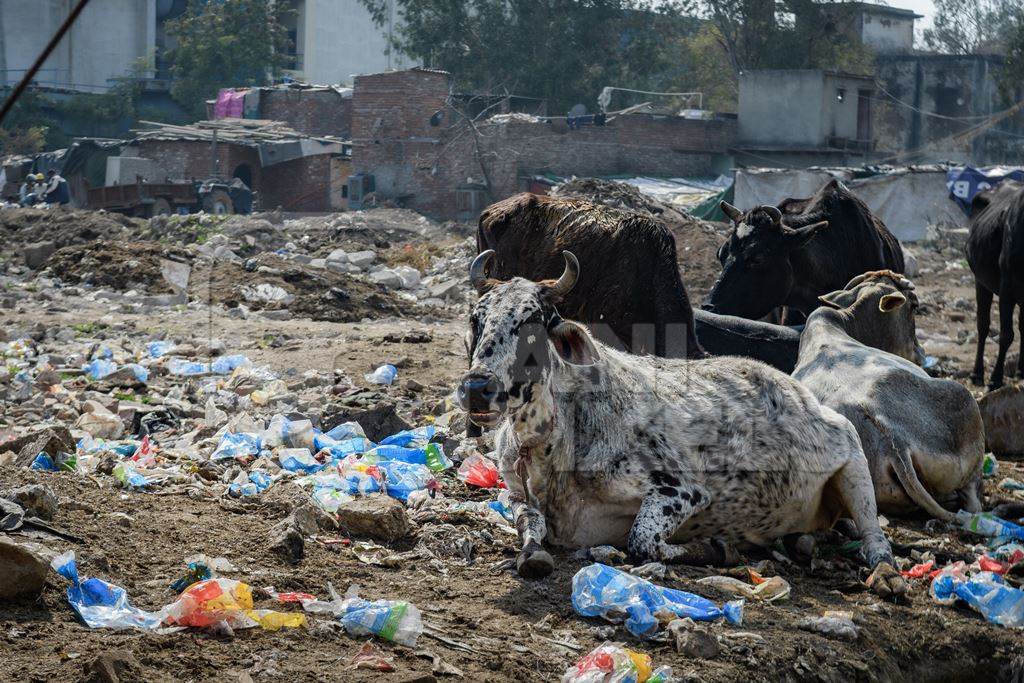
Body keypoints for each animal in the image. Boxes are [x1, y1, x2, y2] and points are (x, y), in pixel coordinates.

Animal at [460, 246, 909, 598]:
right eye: (476, 320)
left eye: (532, 321)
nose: (477, 388)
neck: (557, 442)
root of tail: (800, 391)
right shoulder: (517, 492)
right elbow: (530, 527)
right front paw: (532, 554)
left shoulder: (683, 489)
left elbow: (642, 541)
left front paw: (715, 549)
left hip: (853, 460)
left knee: (875, 538)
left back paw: (886, 575)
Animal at [966, 179, 1024, 387]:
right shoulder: (1007, 288)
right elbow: (1007, 335)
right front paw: (995, 379)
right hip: (981, 282)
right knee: (983, 326)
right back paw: (977, 374)